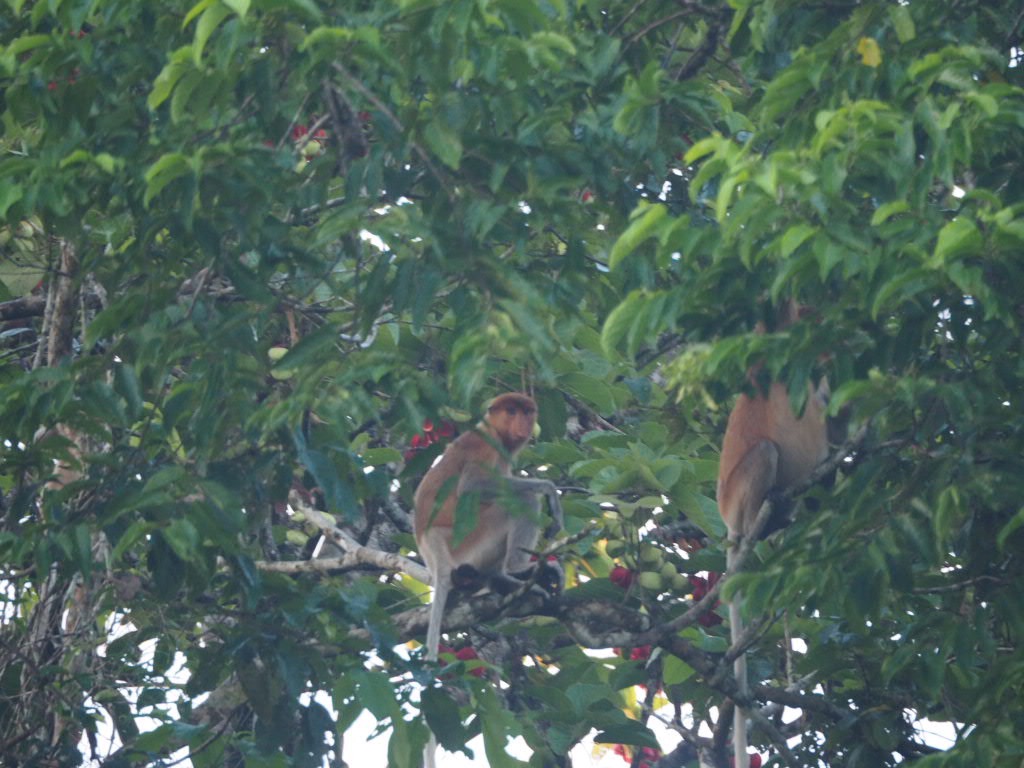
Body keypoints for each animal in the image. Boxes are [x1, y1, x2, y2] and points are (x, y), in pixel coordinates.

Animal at [413, 392, 563, 768]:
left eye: (526, 411)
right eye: (511, 411)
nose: (523, 424)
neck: (493, 431)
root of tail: (431, 546)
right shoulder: (483, 447)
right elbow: (473, 486)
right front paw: (549, 490)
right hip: (468, 538)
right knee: (516, 499)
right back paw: (516, 572)